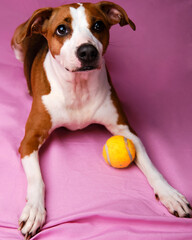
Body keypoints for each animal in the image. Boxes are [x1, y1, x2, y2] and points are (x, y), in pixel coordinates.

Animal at [11, 0, 190, 239]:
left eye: (98, 26)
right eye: (61, 29)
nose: (87, 51)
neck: (78, 87)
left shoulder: (126, 130)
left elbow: (151, 165)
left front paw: (169, 193)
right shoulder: (29, 140)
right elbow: (36, 179)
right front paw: (34, 210)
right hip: (17, 39)